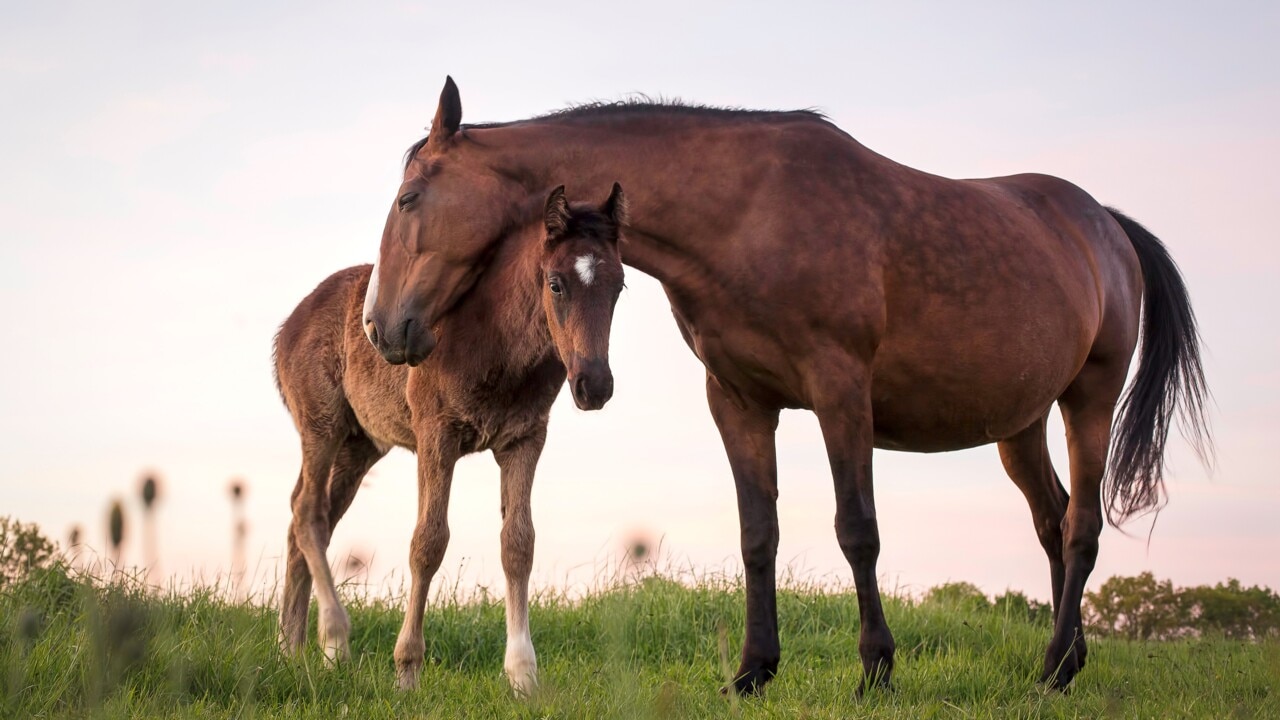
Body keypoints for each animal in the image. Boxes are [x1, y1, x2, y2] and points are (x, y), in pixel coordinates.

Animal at [273, 183, 624, 691]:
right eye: (556, 283)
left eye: (619, 286)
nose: (594, 386)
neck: (494, 336)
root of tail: (288, 326)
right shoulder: (436, 434)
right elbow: (428, 542)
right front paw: (407, 671)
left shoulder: (525, 439)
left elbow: (518, 543)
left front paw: (523, 676)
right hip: (322, 426)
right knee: (308, 513)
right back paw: (334, 640)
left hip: (360, 446)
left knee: (306, 517)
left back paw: (292, 650)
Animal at [363, 78, 1208, 696]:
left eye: (408, 200)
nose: (381, 326)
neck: (748, 212)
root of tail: (1106, 226)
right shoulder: (738, 401)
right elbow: (757, 534)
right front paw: (753, 671)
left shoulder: (841, 394)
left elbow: (856, 530)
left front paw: (876, 670)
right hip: (1020, 424)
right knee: (1053, 523)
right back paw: (1070, 659)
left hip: (1089, 400)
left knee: (1082, 528)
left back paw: (1054, 671)